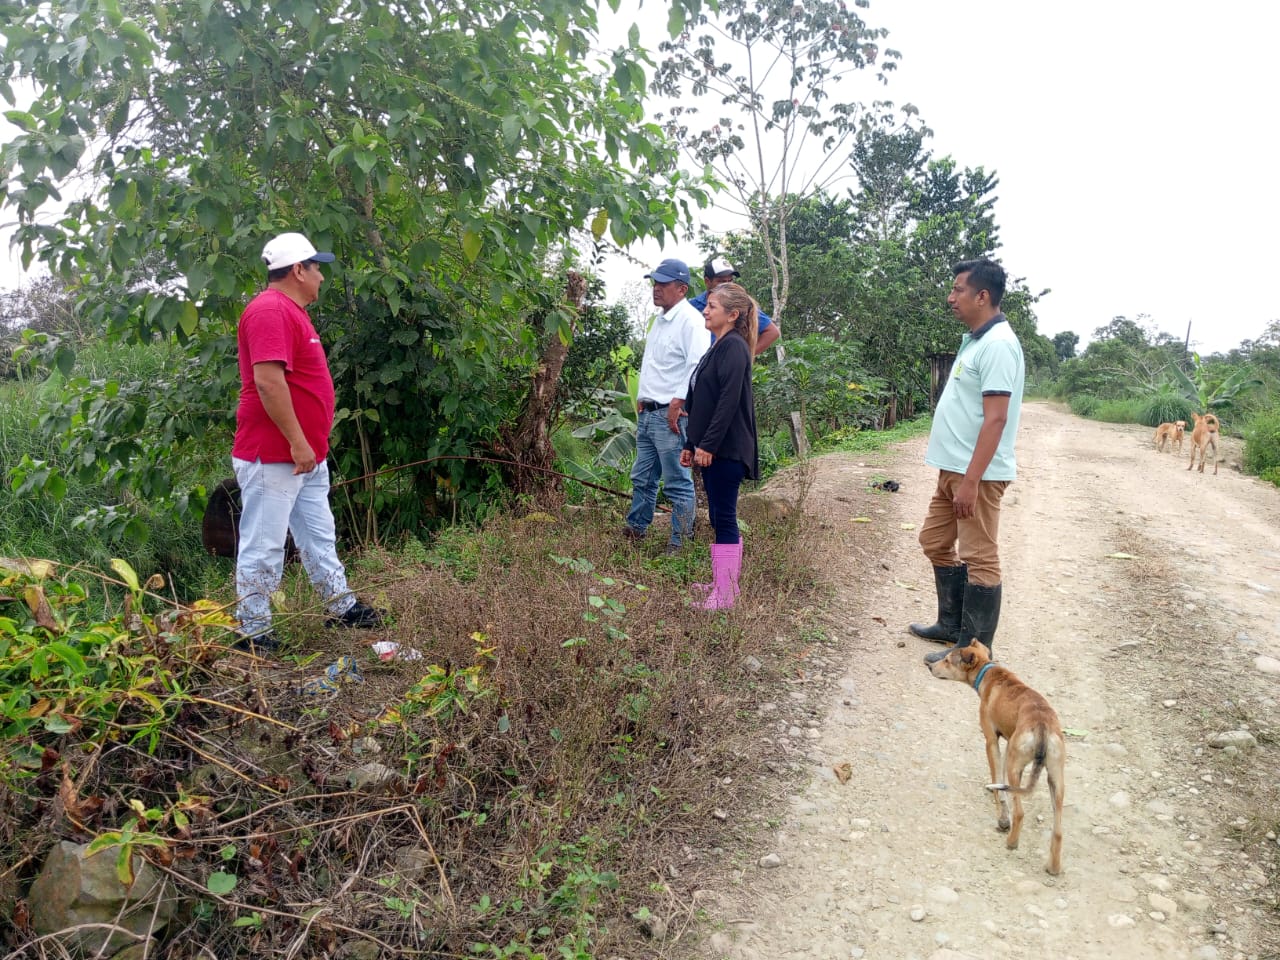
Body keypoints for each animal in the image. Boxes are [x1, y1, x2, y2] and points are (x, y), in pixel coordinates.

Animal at [929, 641, 1065, 875]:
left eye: (947, 660)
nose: (929, 666)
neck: (988, 671)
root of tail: (1042, 726)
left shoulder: (991, 741)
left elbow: (997, 782)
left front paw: (1001, 814)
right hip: (1056, 780)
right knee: (1058, 831)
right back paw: (1053, 867)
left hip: (1015, 767)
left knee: (1019, 813)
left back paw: (1011, 842)